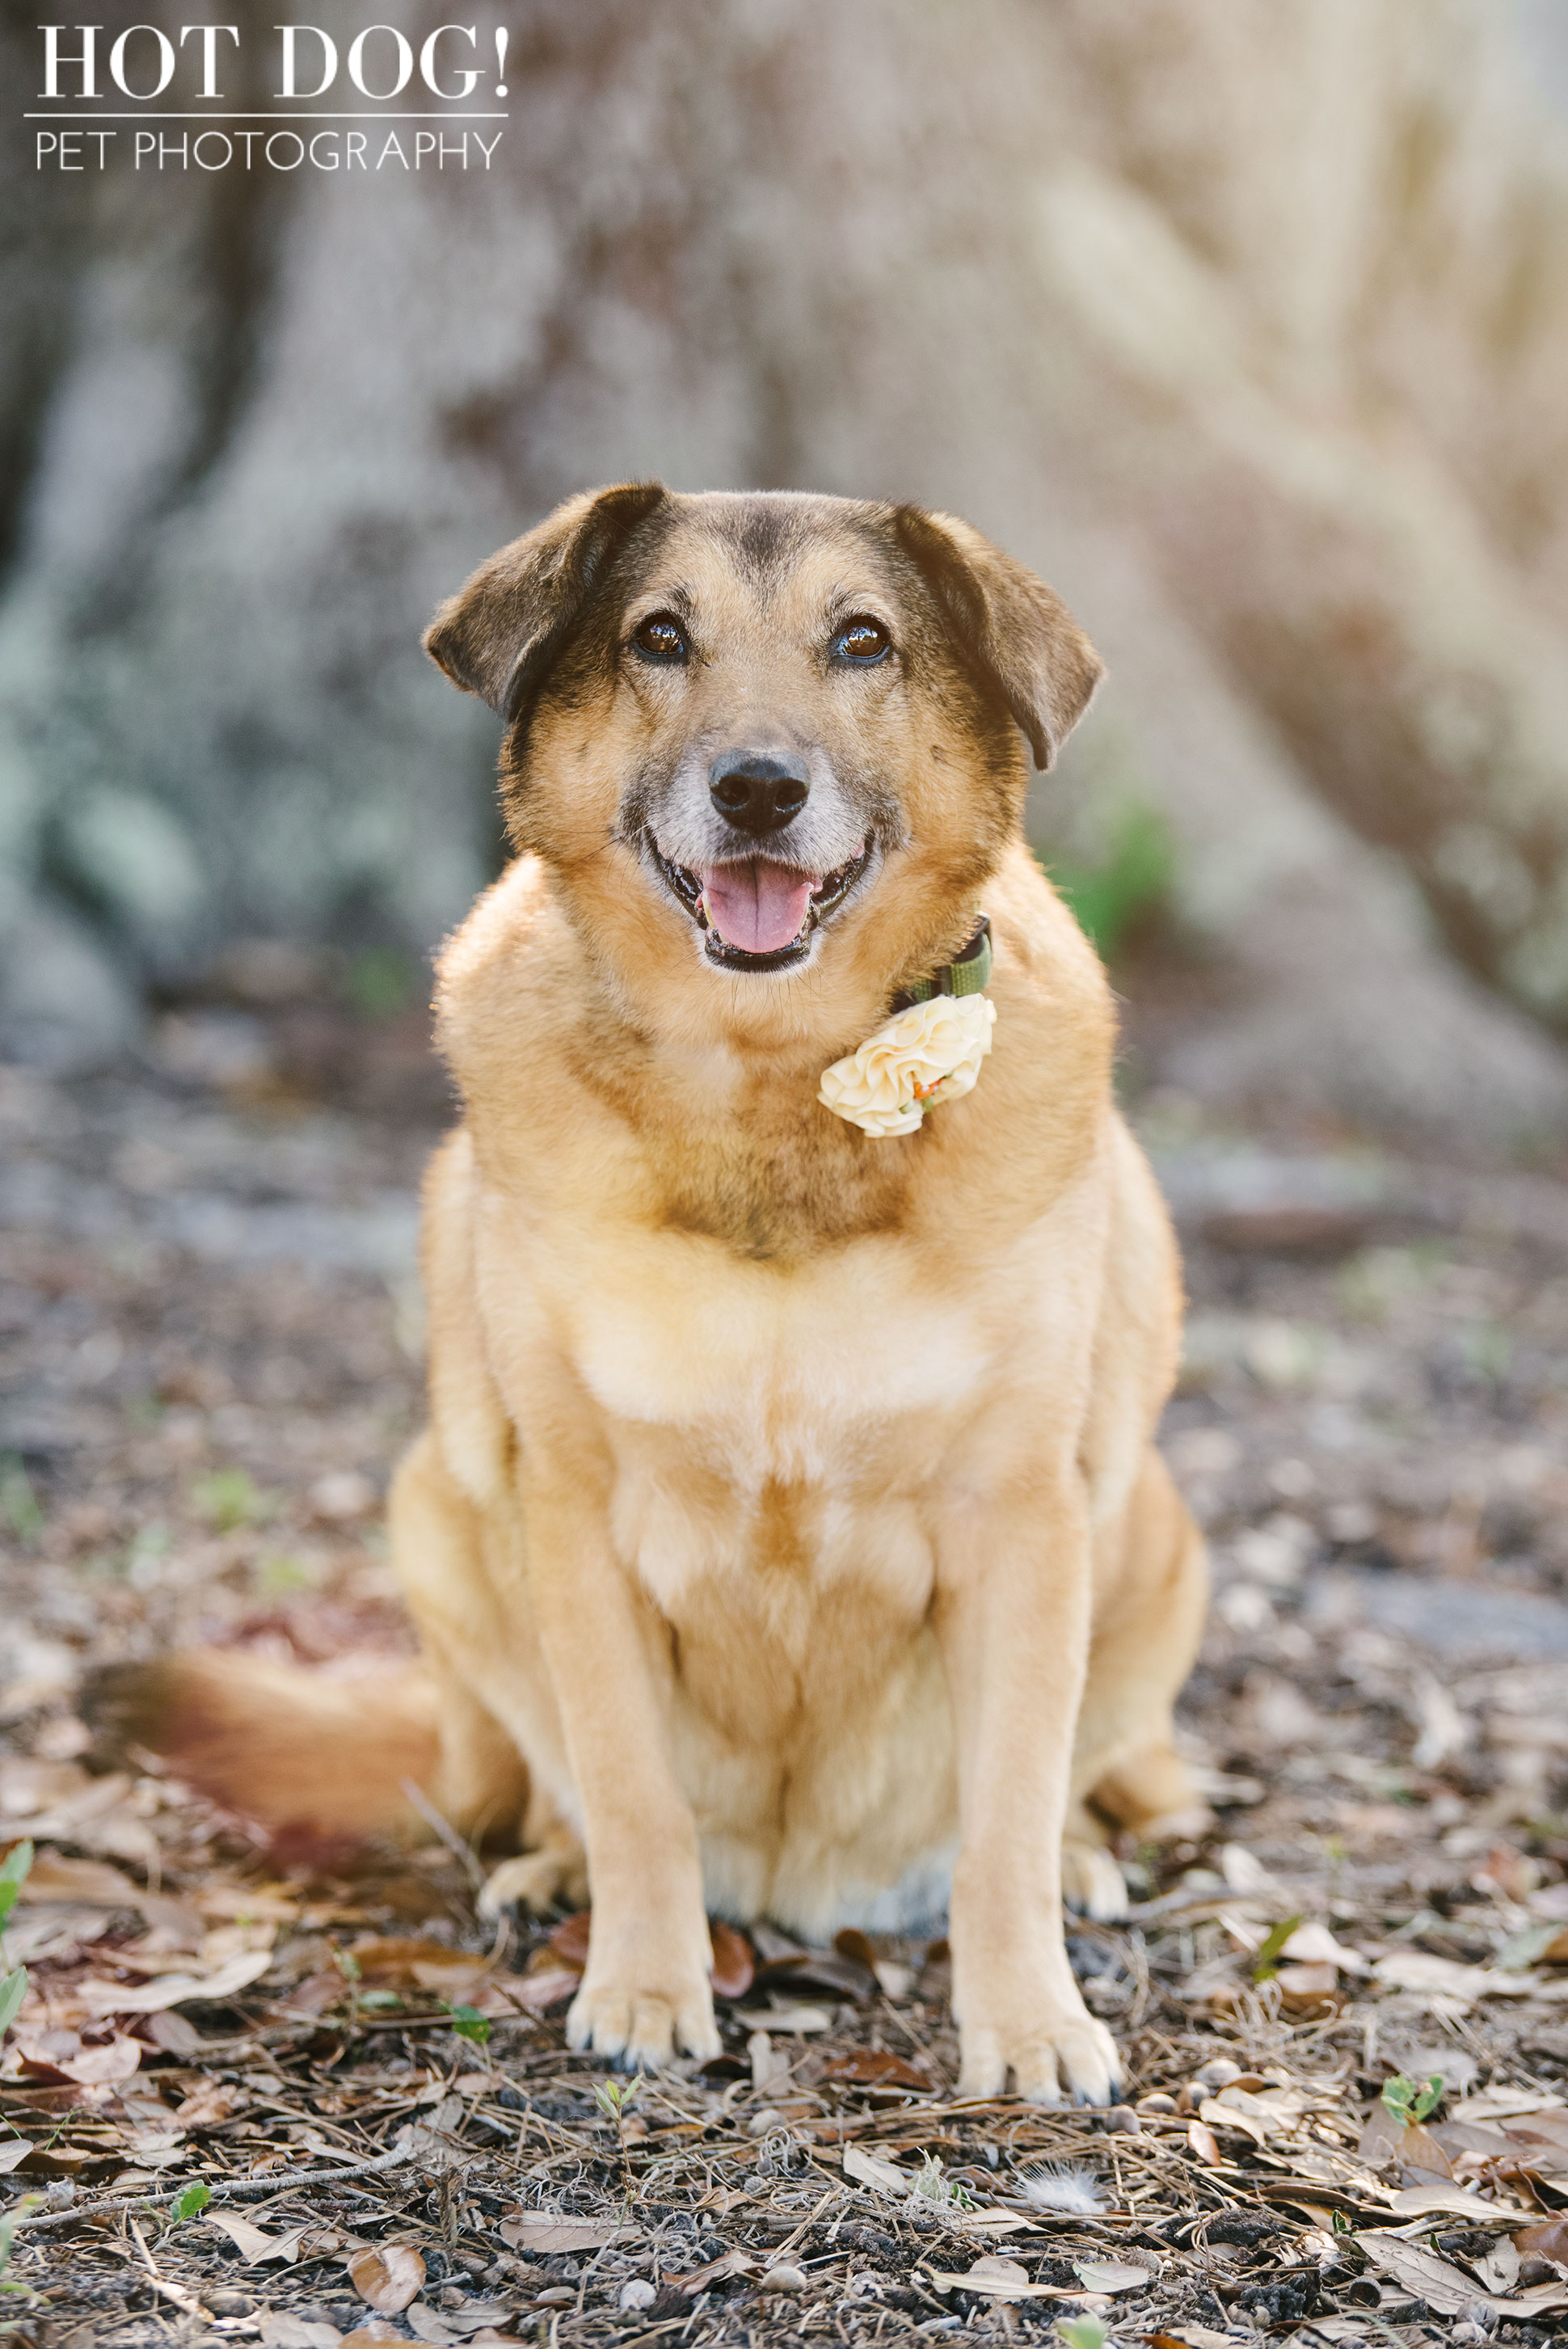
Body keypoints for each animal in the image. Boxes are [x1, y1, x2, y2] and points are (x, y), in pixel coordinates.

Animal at [116, 486, 1211, 2104]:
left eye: (862, 641)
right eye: (659, 638)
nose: (756, 791)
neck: (774, 1083)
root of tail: (802, 1887)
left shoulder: (1021, 1516)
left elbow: (1005, 1817)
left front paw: (1026, 2019)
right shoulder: (576, 1512)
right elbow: (632, 1789)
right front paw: (642, 1984)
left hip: (1152, 1533)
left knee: (1069, 1779)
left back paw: (1082, 1860)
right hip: (438, 1505)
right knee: (547, 1781)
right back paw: (553, 1873)